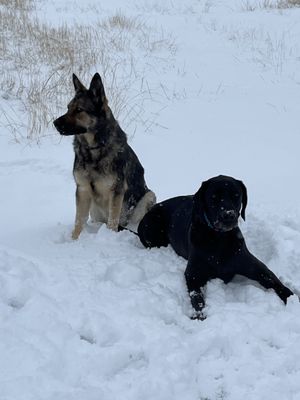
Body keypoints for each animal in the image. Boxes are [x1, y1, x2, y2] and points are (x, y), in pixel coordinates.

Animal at [53, 73, 156, 239]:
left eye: (79, 110)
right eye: (68, 108)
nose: (54, 123)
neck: (94, 148)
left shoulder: (116, 192)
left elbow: (112, 221)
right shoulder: (82, 190)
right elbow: (78, 220)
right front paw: (74, 240)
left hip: (148, 196)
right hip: (94, 210)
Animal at [138, 175, 292, 318]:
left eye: (236, 195)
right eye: (214, 197)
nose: (228, 215)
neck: (219, 239)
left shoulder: (253, 265)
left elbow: (273, 278)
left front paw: (292, 299)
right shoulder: (193, 274)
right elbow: (197, 297)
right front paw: (199, 316)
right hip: (152, 228)